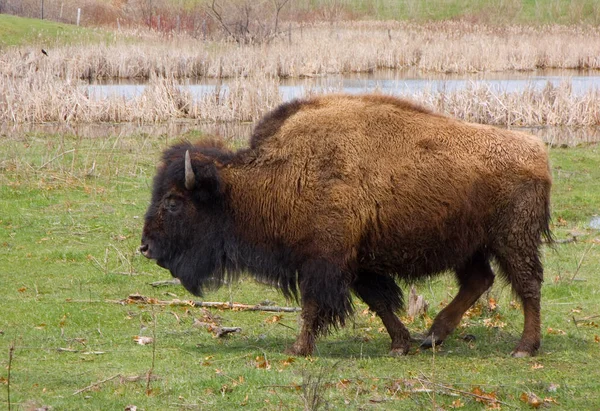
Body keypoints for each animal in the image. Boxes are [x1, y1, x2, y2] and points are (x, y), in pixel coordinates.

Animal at [141, 95, 552, 358]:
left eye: (173, 202)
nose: (145, 247)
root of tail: (537, 150)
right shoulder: (357, 264)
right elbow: (379, 301)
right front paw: (400, 344)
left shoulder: (324, 260)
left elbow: (313, 305)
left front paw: (298, 349)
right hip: (469, 245)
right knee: (478, 280)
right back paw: (432, 337)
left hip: (512, 240)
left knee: (528, 286)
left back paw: (523, 348)